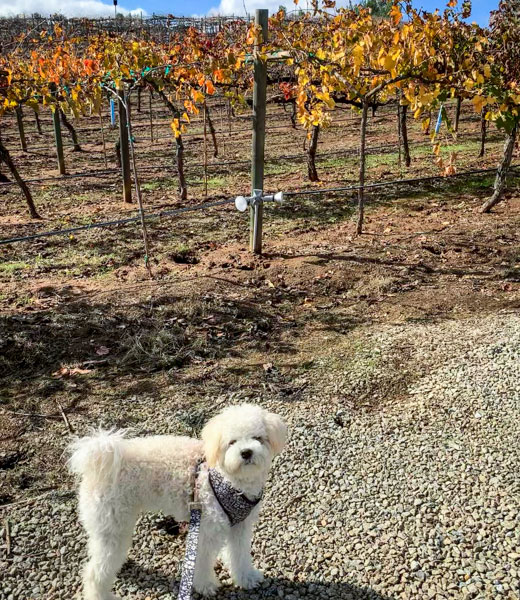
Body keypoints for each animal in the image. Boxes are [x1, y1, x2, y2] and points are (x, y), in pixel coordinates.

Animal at [68, 404, 288, 600]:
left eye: (258, 438)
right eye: (231, 442)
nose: (246, 452)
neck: (230, 481)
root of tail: (99, 460)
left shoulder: (239, 526)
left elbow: (239, 555)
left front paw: (247, 578)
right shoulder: (207, 528)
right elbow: (201, 561)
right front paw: (205, 585)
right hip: (113, 526)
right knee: (94, 572)